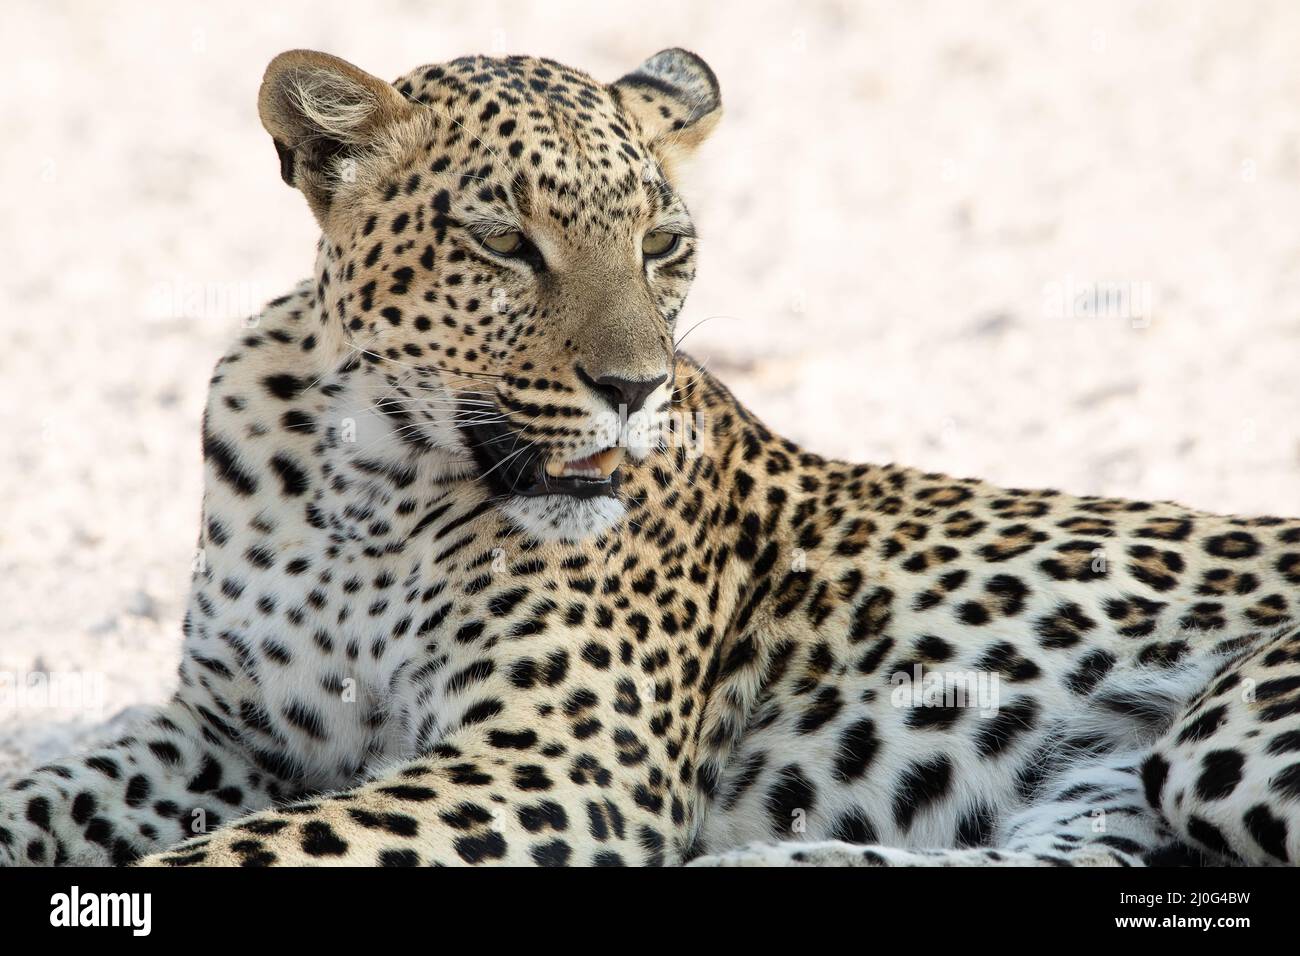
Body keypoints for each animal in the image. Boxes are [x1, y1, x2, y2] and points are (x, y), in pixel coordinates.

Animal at [2, 46, 1299, 868]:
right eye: (503, 241)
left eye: (663, 242)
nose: (633, 390)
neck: (368, 479)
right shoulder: (232, 731)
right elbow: (53, 790)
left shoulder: (556, 755)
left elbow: (260, 850)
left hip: (1222, 733)